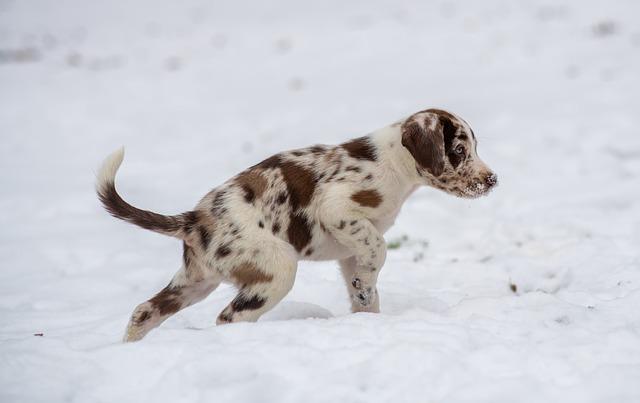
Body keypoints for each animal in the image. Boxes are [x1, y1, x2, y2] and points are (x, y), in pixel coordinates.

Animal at [96, 106, 496, 340]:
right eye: (459, 151)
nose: (492, 180)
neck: (393, 163)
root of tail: (194, 220)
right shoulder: (338, 210)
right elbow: (379, 250)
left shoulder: (349, 252)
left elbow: (365, 287)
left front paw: (367, 311)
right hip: (277, 269)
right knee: (228, 318)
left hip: (196, 281)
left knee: (144, 311)